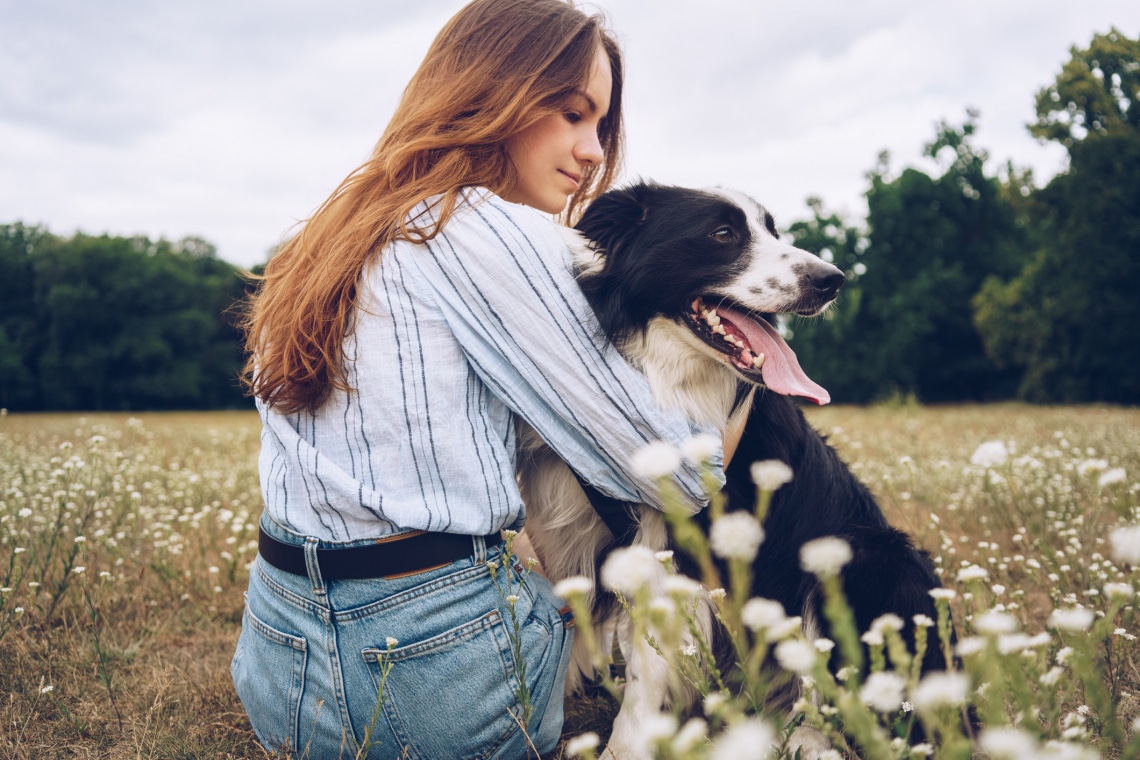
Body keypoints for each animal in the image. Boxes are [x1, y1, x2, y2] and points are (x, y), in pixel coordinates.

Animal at [515, 181, 943, 756]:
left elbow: (645, 681)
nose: (832, 280)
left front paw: (621, 748)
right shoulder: (568, 534)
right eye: (723, 234)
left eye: (774, 232)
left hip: (869, 553)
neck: (667, 376)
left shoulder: (678, 549)